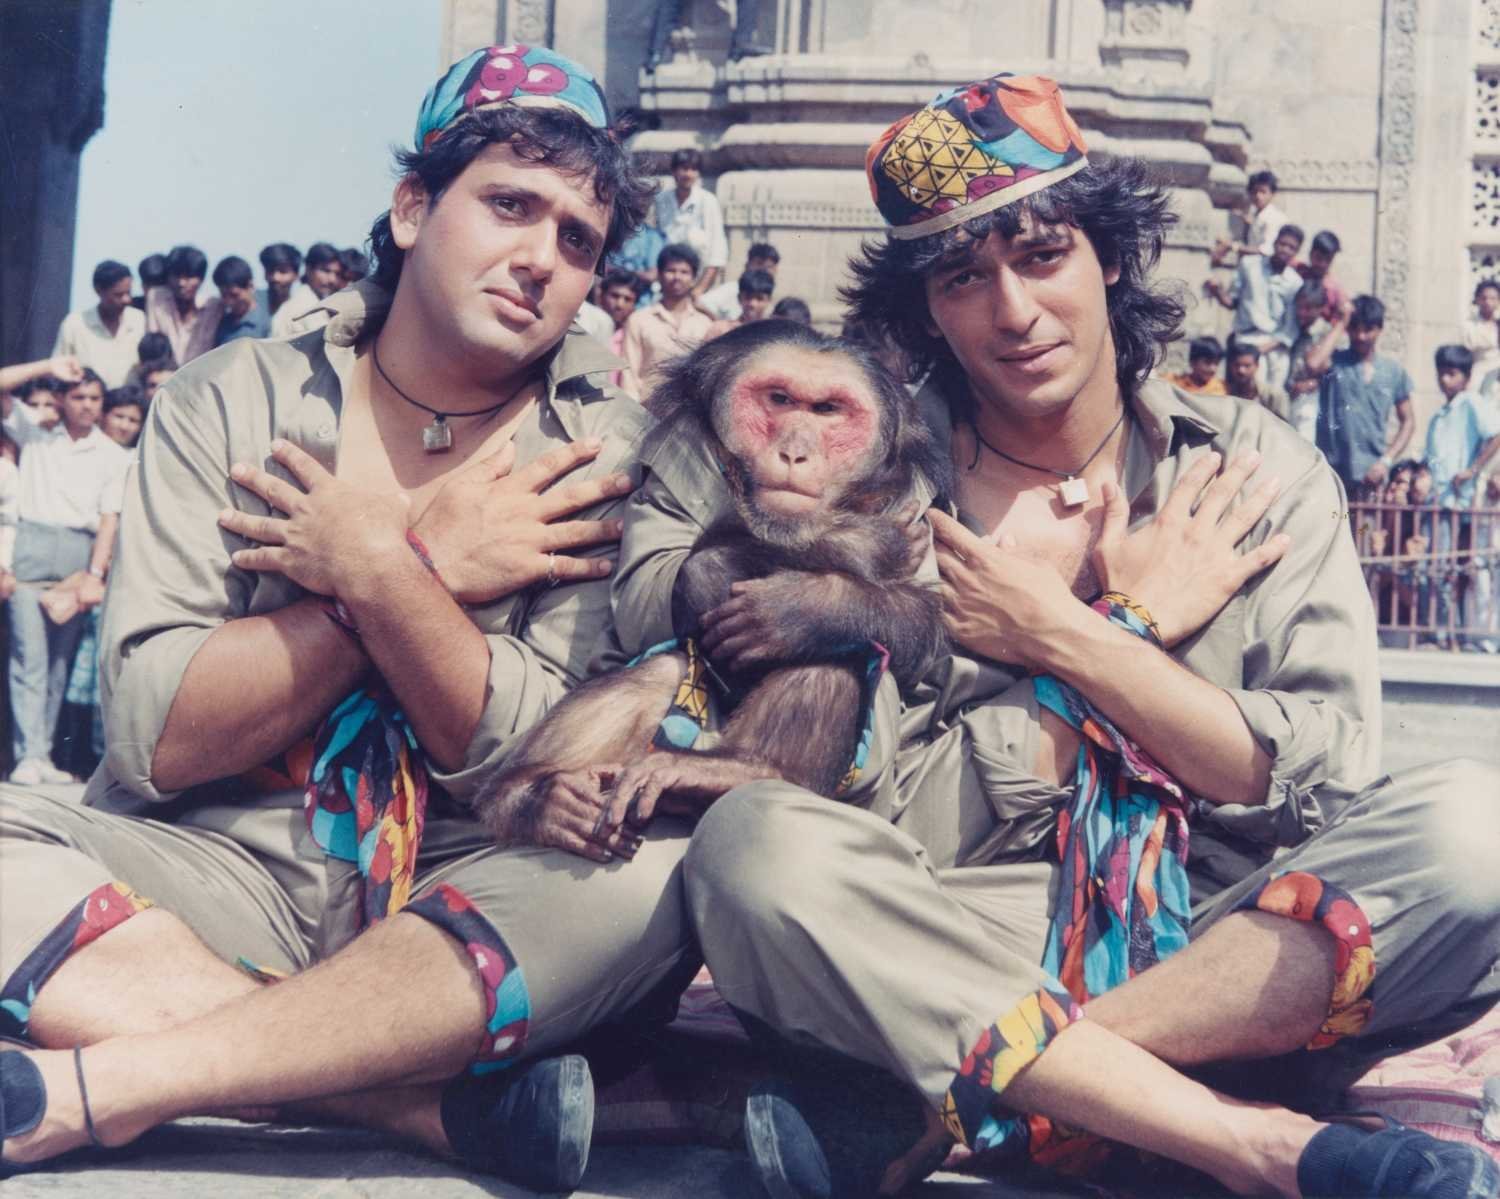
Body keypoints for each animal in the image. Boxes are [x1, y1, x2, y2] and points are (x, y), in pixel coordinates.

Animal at [475, 320, 952, 861]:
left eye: (828, 410)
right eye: (780, 399)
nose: (796, 450)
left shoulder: (916, 498)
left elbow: (922, 631)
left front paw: (800, 606)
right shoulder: (676, 447)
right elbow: (650, 583)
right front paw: (865, 542)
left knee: (845, 648)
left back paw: (748, 768)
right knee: (665, 666)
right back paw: (535, 797)